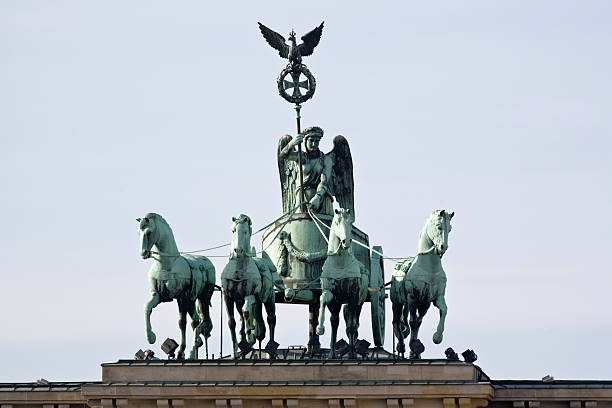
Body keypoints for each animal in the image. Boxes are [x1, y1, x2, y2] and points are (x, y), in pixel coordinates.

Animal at [137, 214, 216, 360]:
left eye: (149, 232)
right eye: (139, 233)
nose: (143, 253)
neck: (166, 263)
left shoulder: (181, 297)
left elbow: (181, 323)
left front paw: (180, 352)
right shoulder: (158, 296)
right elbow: (147, 308)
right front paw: (151, 337)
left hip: (202, 297)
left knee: (202, 320)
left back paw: (192, 349)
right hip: (191, 300)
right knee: (195, 321)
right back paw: (195, 347)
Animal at [220, 214, 278, 356]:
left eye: (245, 231)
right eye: (233, 230)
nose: (238, 251)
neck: (238, 270)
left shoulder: (250, 295)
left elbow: (246, 312)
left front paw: (250, 336)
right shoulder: (227, 297)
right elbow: (232, 321)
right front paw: (235, 350)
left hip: (269, 298)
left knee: (271, 318)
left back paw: (270, 346)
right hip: (242, 302)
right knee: (243, 317)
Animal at [316, 209, 368, 358]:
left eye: (350, 222)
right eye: (336, 222)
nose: (346, 241)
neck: (340, 263)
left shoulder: (353, 297)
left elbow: (351, 326)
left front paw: (352, 354)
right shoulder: (332, 296)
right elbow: (323, 300)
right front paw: (319, 328)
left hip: (359, 303)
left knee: (354, 324)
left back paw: (352, 351)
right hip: (339, 303)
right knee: (335, 322)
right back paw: (333, 353)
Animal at [390, 209, 452, 358]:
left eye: (450, 229)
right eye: (438, 226)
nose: (443, 247)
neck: (429, 269)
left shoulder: (434, 299)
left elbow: (444, 310)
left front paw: (437, 337)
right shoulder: (412, 297)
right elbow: (411, 322)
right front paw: (411, 347)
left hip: (422, 305)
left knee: (417, 322)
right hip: (397, 301)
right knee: (396, 321)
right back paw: (401, 346)